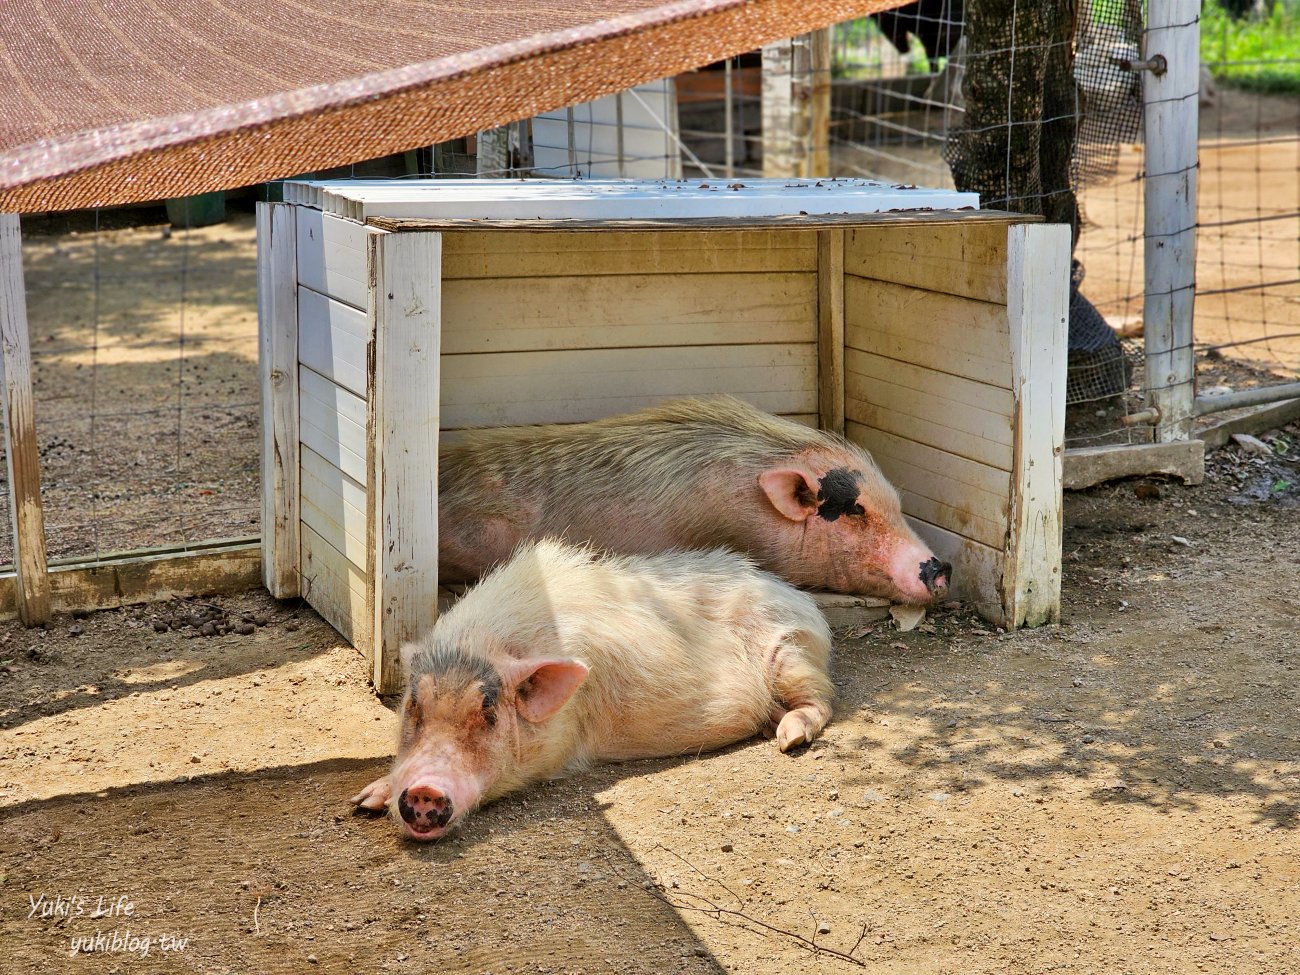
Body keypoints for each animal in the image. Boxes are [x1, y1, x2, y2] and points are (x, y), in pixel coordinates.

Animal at [348, 538, 832, 842]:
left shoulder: (558, 748)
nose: (424, 790)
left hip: (791, 649)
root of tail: (788, 589)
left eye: (487, 710)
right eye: (414, 704)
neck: (483, 642)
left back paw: (788, 738)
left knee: (821, 700)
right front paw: (363, 801)